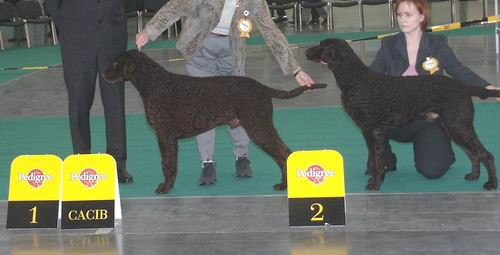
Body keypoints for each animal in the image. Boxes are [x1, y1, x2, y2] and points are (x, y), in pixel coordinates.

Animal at [103, 49, 326, 193]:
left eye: (116, 64)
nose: (103, 75)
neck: (155, 83)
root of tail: (262, 87)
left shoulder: (164, 135)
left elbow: (167, 164)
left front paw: (165, 187)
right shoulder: (167, 137)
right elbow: (169, 163)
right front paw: (168, 185)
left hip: (258, 127)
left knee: (282, 154)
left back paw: (284, 186)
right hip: (261, 125)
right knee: (284, 152)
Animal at [306, 38, 498, 191]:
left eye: (321, 45)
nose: (305, 50)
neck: (356, 79)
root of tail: (463, 87)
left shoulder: (373, 130)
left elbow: (377, 160)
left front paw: (375, 185)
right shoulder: (369, 131)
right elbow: (376, 159)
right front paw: (377, 179)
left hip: (458, 125)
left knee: (486, 154)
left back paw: (491, 184)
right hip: (454, 127)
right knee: (473, 154)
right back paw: (473, 176)